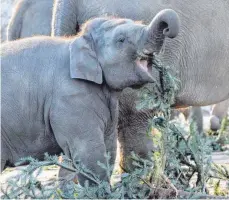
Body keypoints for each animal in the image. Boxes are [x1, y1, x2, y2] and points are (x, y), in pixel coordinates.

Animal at [1, 10, 181, 184]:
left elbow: (109, 149)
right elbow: (91, 155)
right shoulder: (71, 99)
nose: (168, 29)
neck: (78, 41)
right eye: (121, 40)